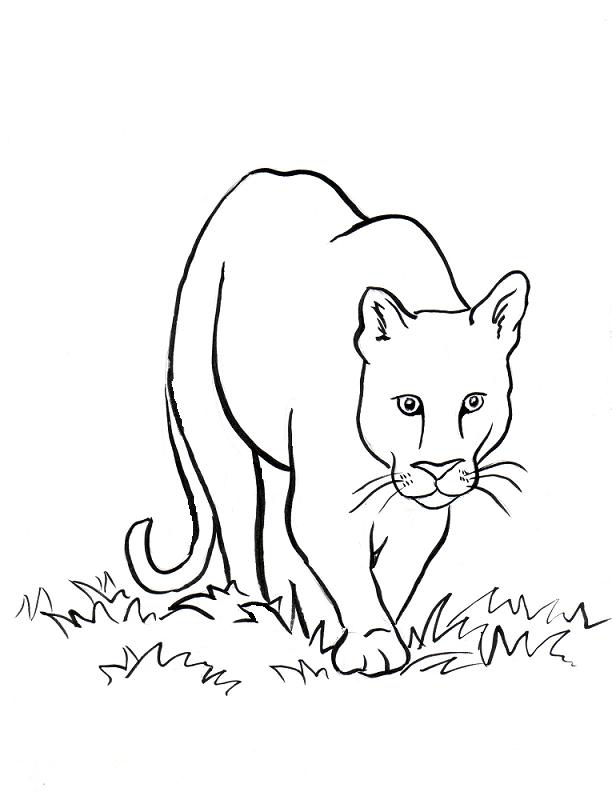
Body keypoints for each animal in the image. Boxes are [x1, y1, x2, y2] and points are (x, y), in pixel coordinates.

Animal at [126, 168, 529, 676]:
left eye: (473, 403)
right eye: (408, 404)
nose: (438, 470)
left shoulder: (420, 513)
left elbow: (393, 572)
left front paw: (378, 635)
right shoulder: (324, 503)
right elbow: (350, 570)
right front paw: (372, 645)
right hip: (210, 415)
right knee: (238, 512)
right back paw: (253, 612)